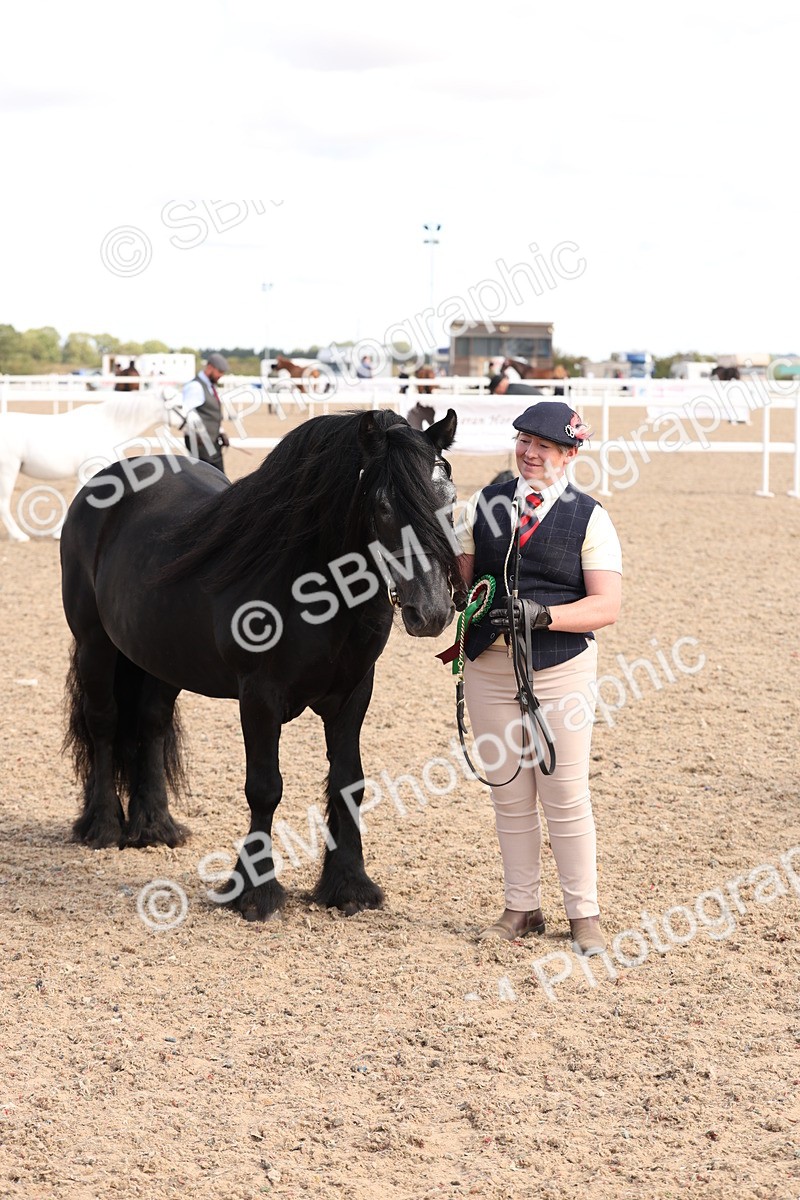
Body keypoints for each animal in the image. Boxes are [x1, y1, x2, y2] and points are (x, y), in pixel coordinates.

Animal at [0, 388, 185, 542]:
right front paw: (58, 534)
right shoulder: (89, 471)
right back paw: (19, 536)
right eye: (180, 406)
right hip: (8, 472)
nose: (189, 423)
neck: (110, 425)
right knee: (4, 504)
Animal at [60, 408, 461, 922]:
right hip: (95, 644)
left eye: (449, 499)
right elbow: (265, 788)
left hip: (159, 658)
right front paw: (255, 891)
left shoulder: (353, 694)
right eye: (385, 507)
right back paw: (104, 826)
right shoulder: (259, 698)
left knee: (151, 724)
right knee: (104, 723)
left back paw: (154, 826)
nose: (431, 611)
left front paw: (349, 885)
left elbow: (348, 783)